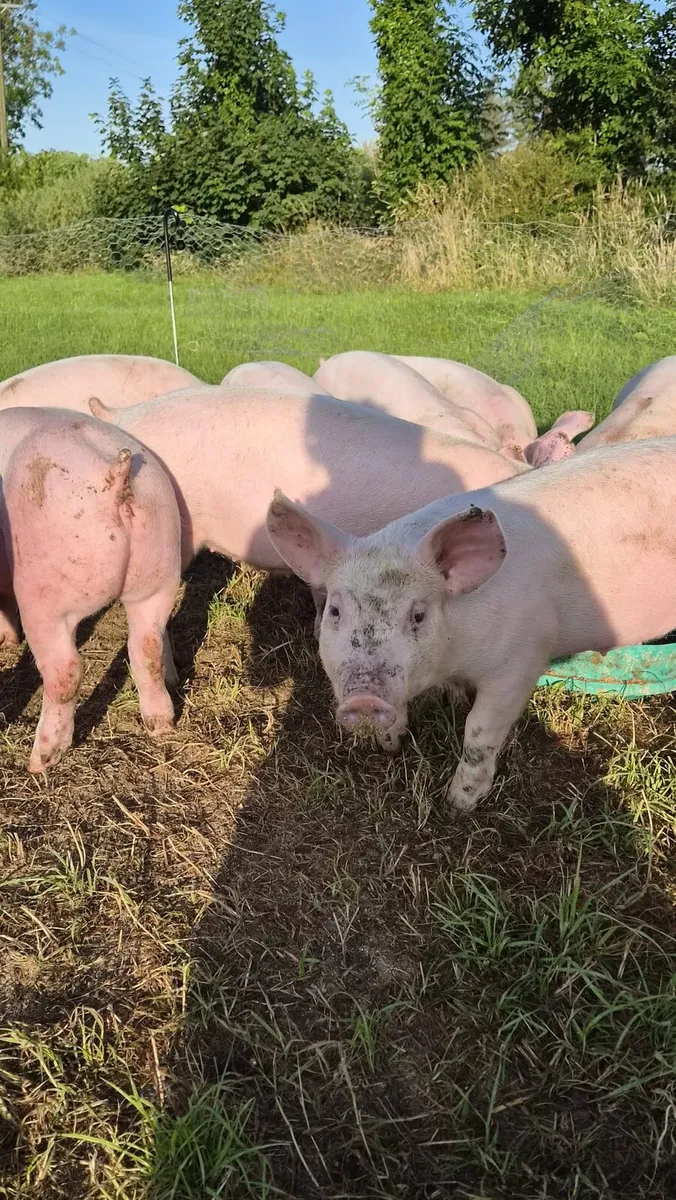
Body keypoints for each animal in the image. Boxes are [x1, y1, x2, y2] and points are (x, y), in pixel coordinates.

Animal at [0, 408, 181, 772]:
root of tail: (115, 474)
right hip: (160, 570)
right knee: (147, 647)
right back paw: (161, 726)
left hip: (45, 593)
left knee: (66, 671)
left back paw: (40, 761)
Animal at [265, 437, 676, 812]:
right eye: (335, 611)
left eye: (418, 614)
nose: (364, 699)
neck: (456, 655)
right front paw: (393, 745)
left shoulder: (521, 661)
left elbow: (478, 732)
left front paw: (456, 805)